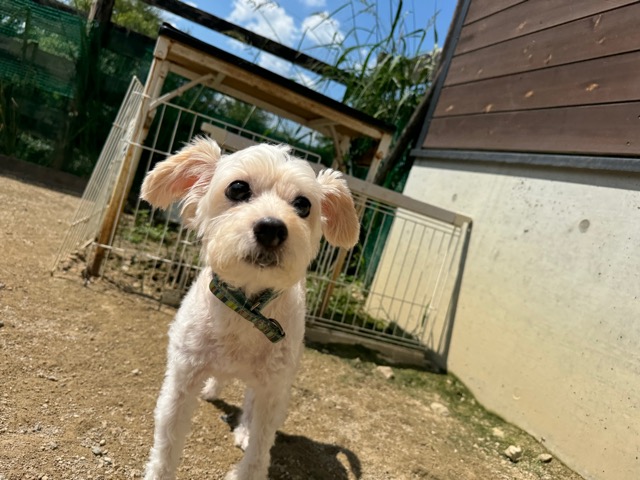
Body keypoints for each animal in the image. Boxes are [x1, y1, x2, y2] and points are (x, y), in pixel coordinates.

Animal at [139, 137, 360, 479]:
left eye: (303, 204)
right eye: (238, 188)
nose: (272, 228)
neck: (244, 309)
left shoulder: (273, 389)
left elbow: (260, 443)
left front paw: (248, 455)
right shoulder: (183, 377)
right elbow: (168, 440)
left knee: (251, 404)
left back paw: (243, 428)